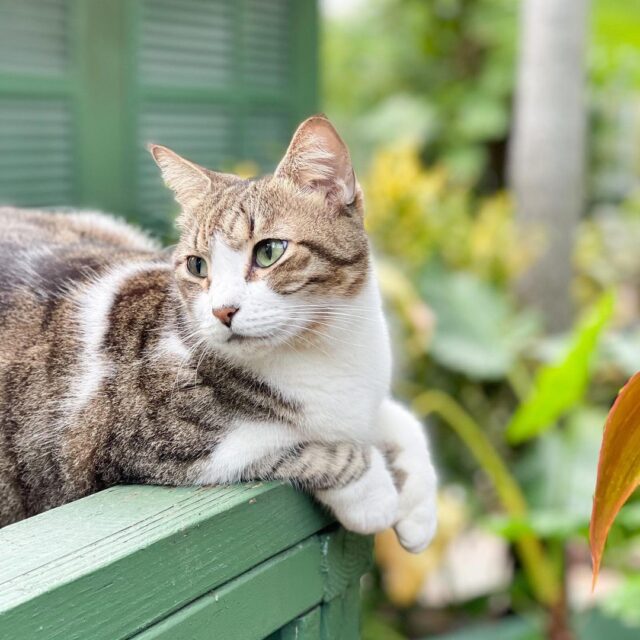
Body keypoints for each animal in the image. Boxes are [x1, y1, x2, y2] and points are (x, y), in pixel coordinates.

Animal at [0, 115, 436, 552]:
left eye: (269, 251)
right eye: (197, 266)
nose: (222, 310)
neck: (325, 348)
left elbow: (402, 421)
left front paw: (418, 509)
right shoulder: (152, 446)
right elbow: (295, 444)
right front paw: (376, 496)